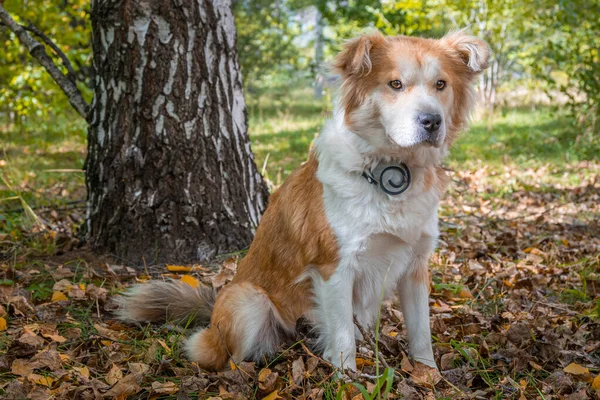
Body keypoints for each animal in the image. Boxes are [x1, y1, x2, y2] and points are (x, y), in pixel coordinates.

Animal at [116, 30, 488, 372]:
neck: (390, 172)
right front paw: (348, 381)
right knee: (226, 358)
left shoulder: (415, 267)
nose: (432, 122)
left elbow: (421, 332)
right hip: (248, 300)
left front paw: (429, 375)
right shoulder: (335, 268)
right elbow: (343, 337)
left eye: (441, 84)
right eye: (395, 84)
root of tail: (213, 314)